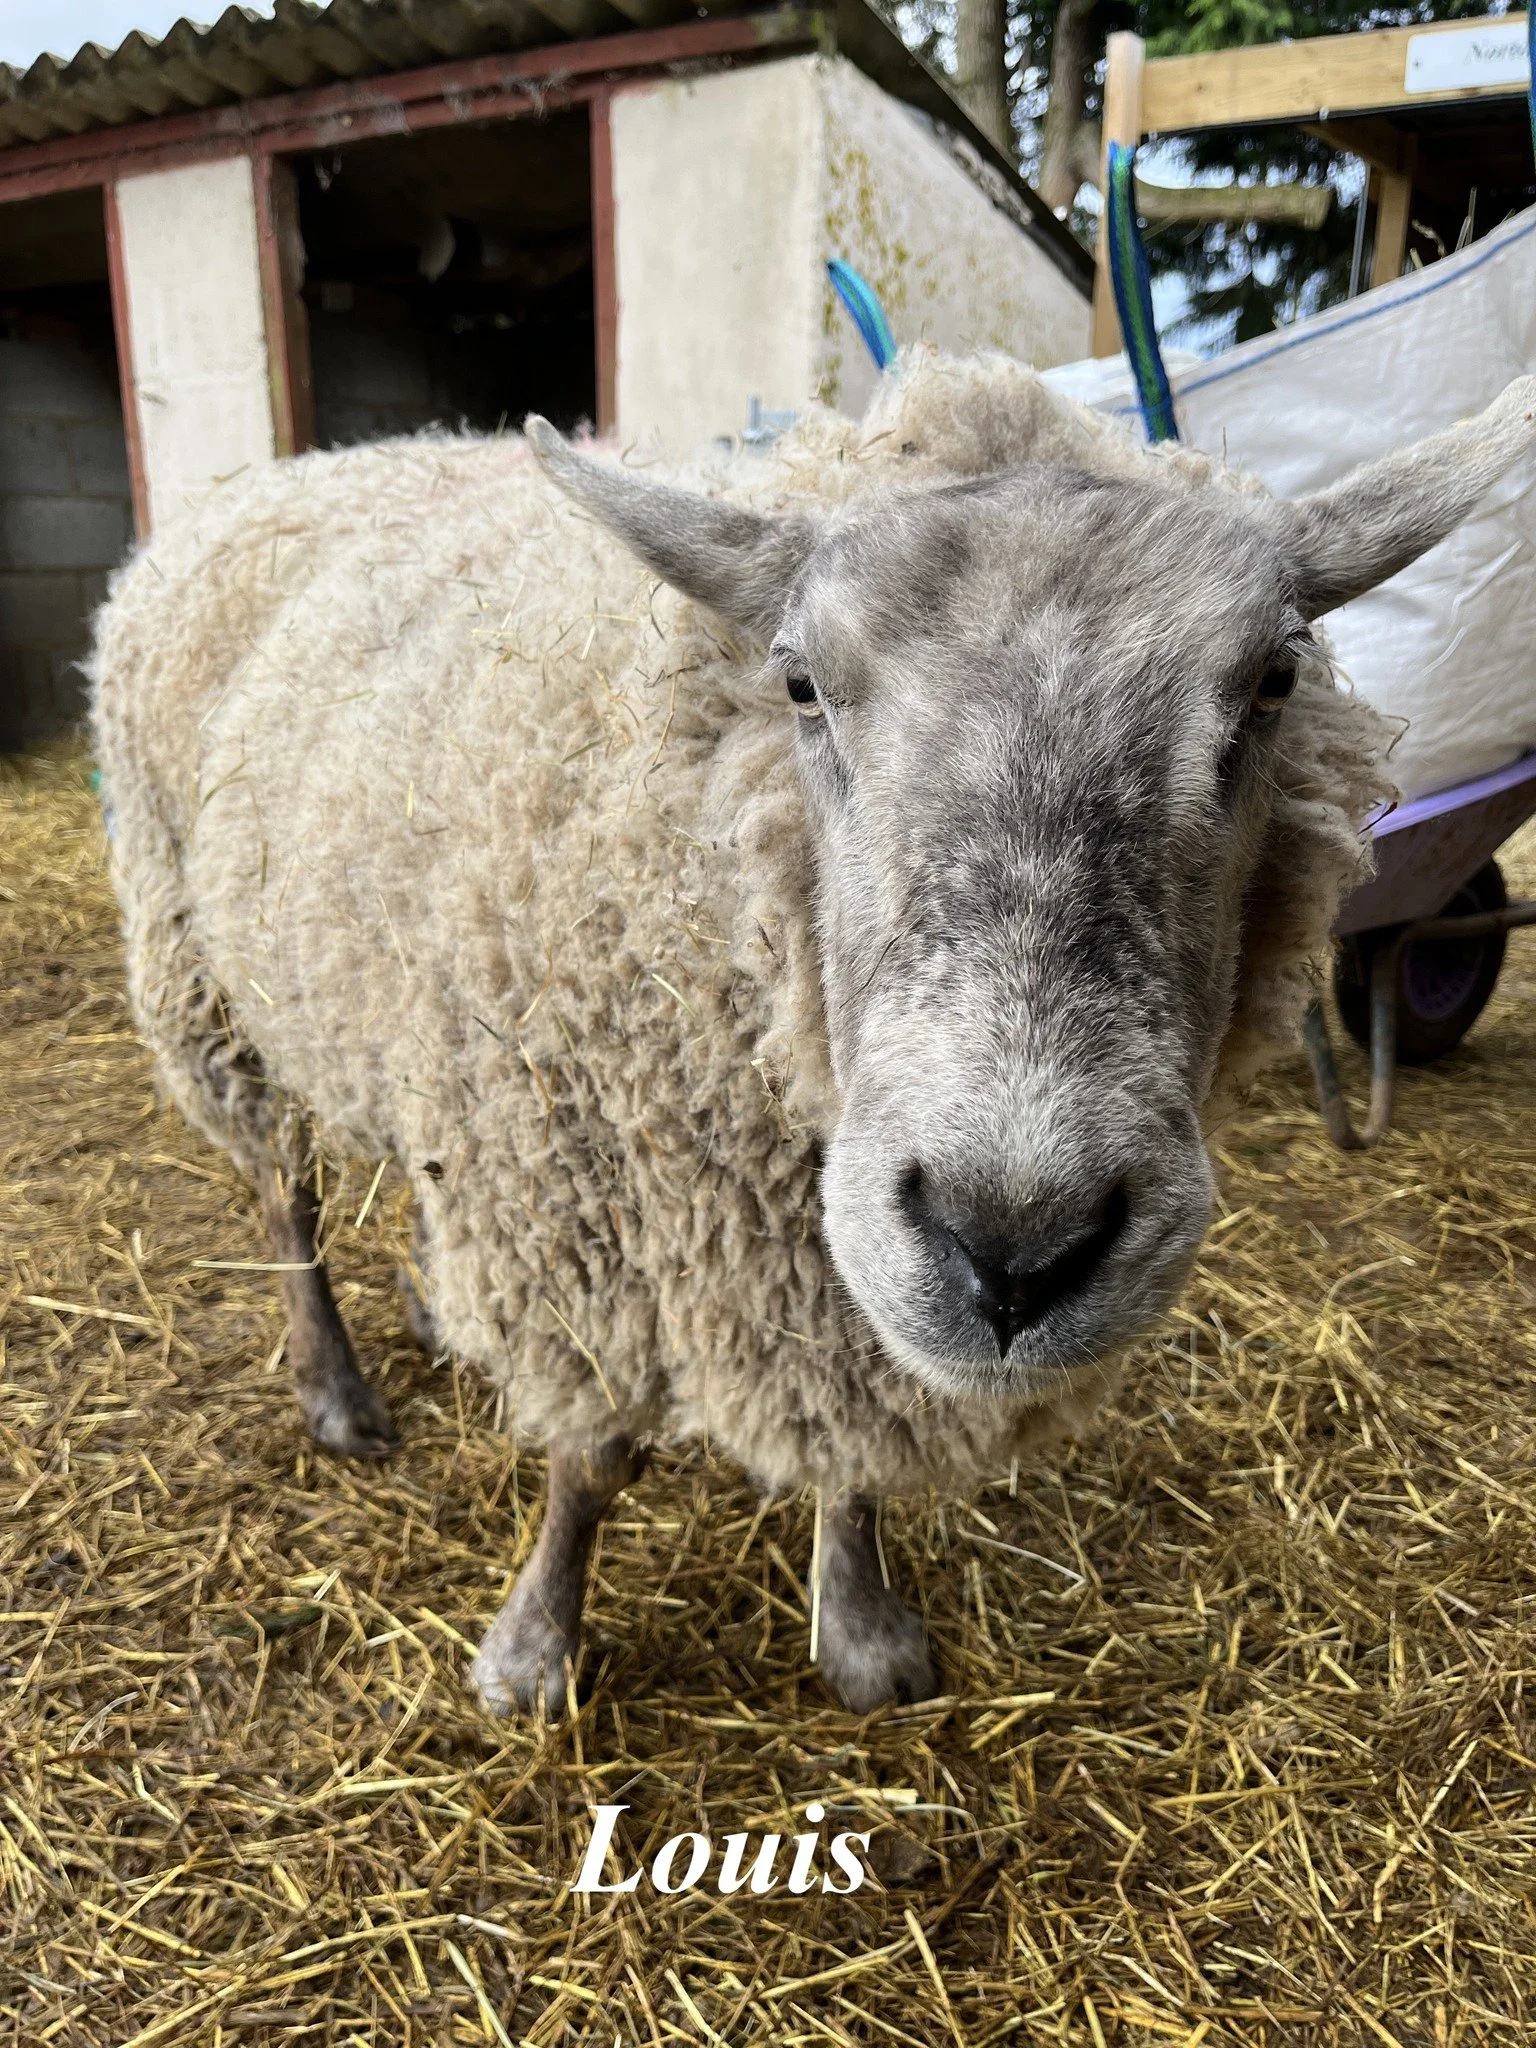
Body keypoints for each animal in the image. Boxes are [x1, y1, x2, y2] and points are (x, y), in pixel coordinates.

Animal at [89, 352, 1536, 1714]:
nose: (1016, 1244)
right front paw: (533, 1649)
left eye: (1277, 677)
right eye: (798, 681)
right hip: (198, 964)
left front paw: (864, 1630)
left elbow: (851, 1447)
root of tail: (307, 461)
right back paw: (335, 1391)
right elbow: (591, 1458)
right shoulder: (576, 1215)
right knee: (283, 1192)